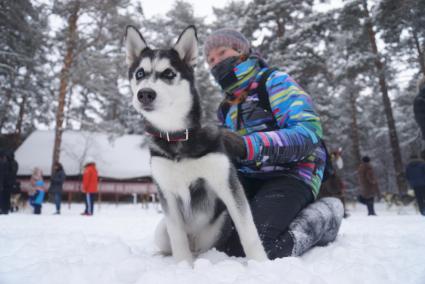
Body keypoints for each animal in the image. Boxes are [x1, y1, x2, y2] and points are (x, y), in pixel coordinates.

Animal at [124, 26, 266, 264]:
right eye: (140, 74)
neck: (178, 138)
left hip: (219, 226)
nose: (145, 94)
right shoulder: (167, 193)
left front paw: (261, 264)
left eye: (169, 73)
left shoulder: (226, 183)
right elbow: (178, 237)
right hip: (161, 230)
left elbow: (249, 232)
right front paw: (183, 266)